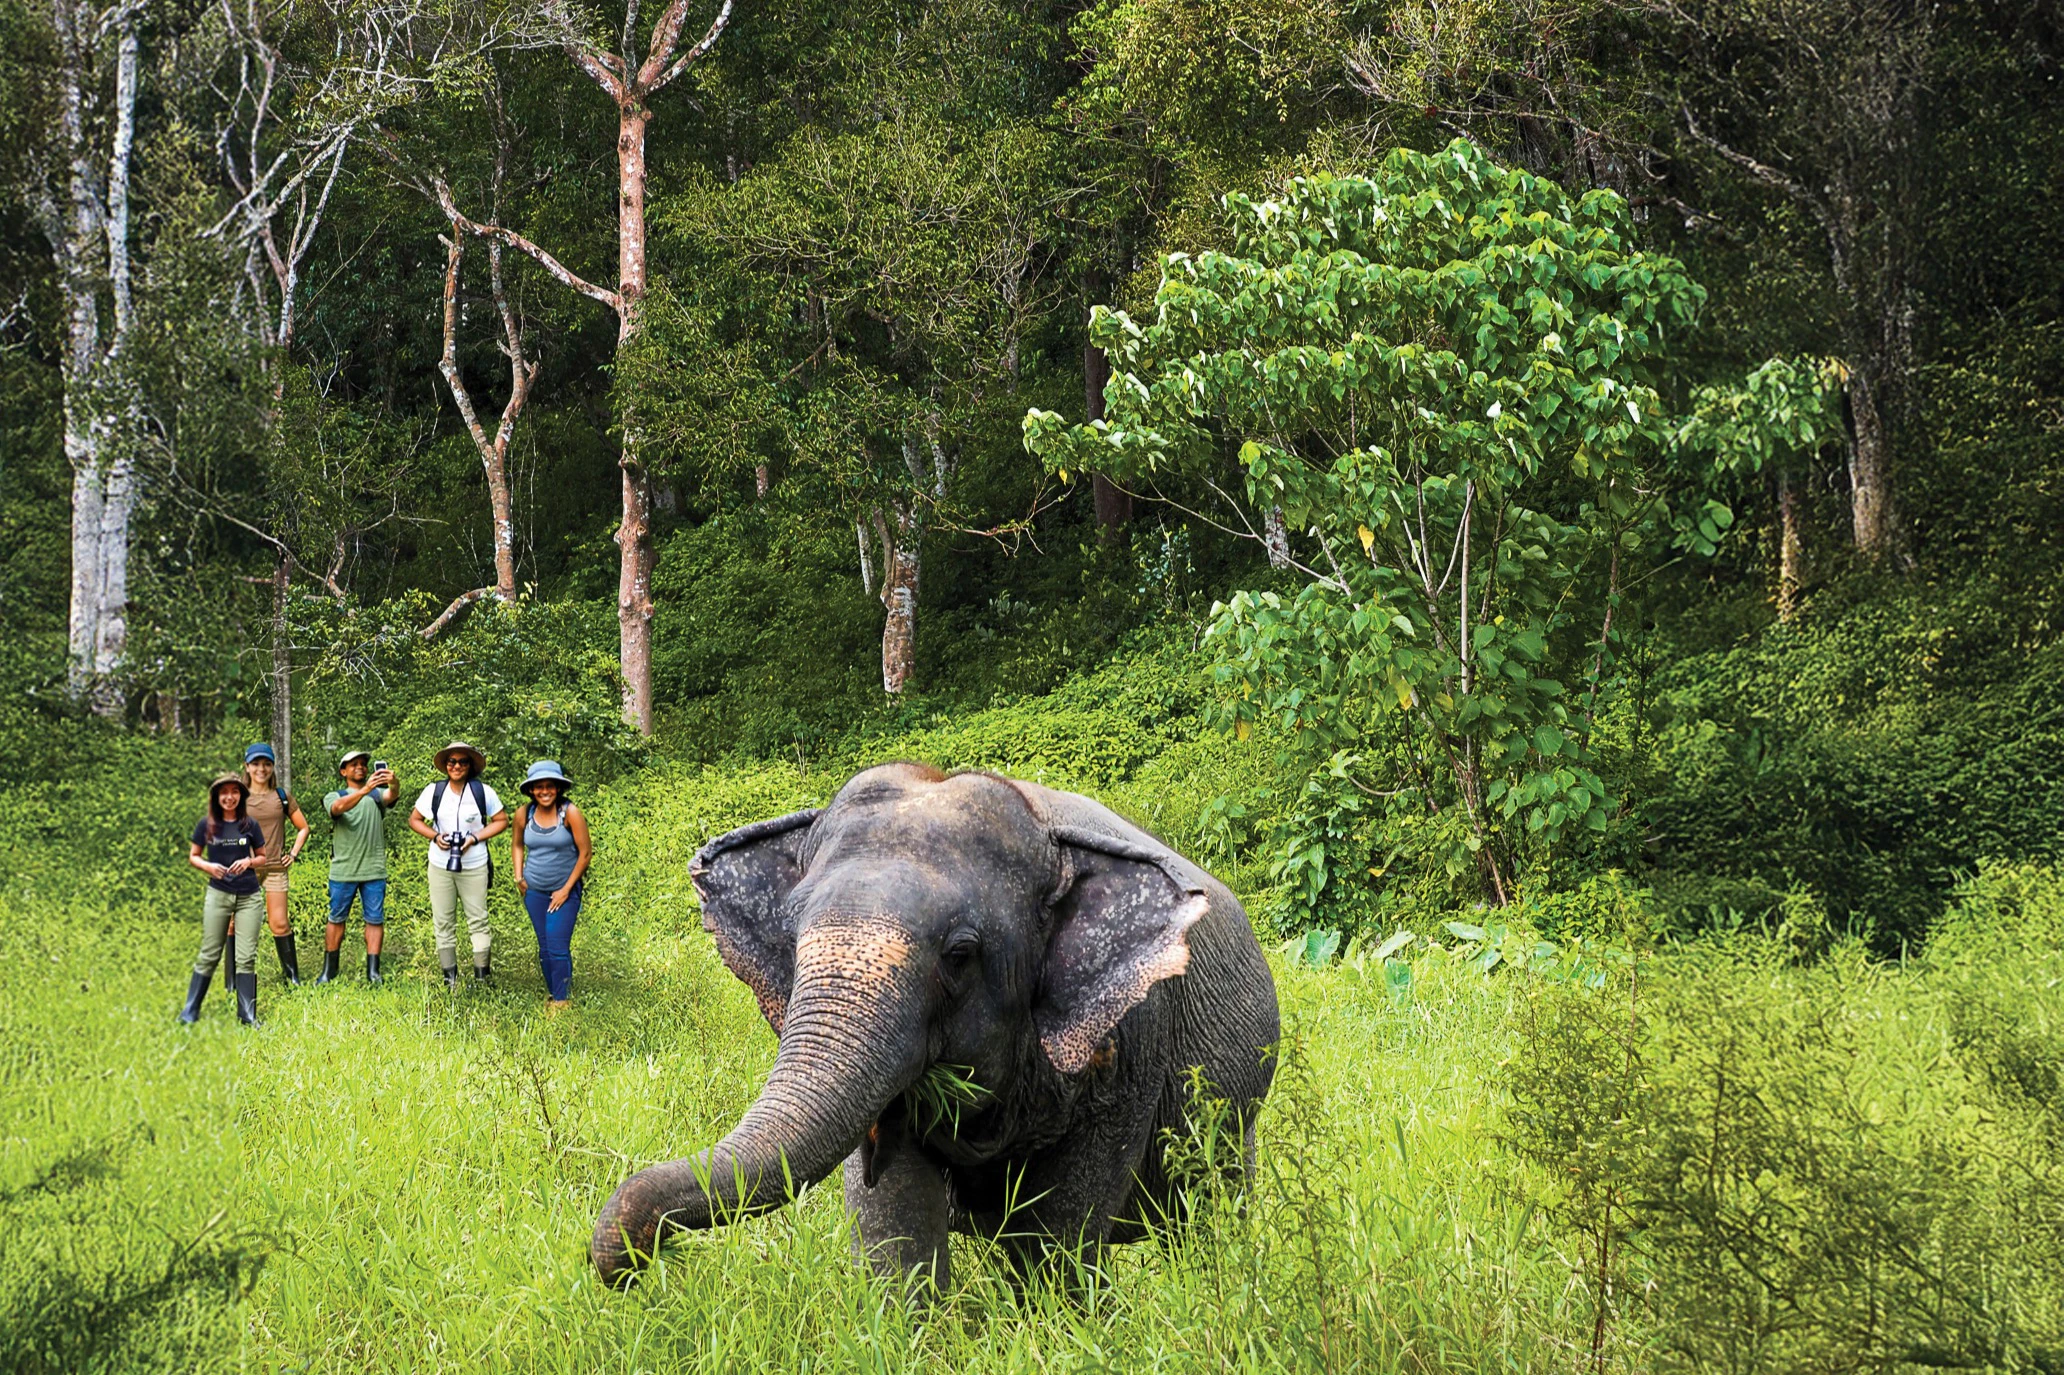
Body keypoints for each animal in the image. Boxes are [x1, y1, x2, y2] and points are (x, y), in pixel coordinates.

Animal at [590, 762, 1280, 1291]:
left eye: (959, 954)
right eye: (790, 936)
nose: (636, 1264)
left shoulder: (1134, 1038)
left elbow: (1059, 1228)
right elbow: (892, 1214)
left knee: (1208, 1211)